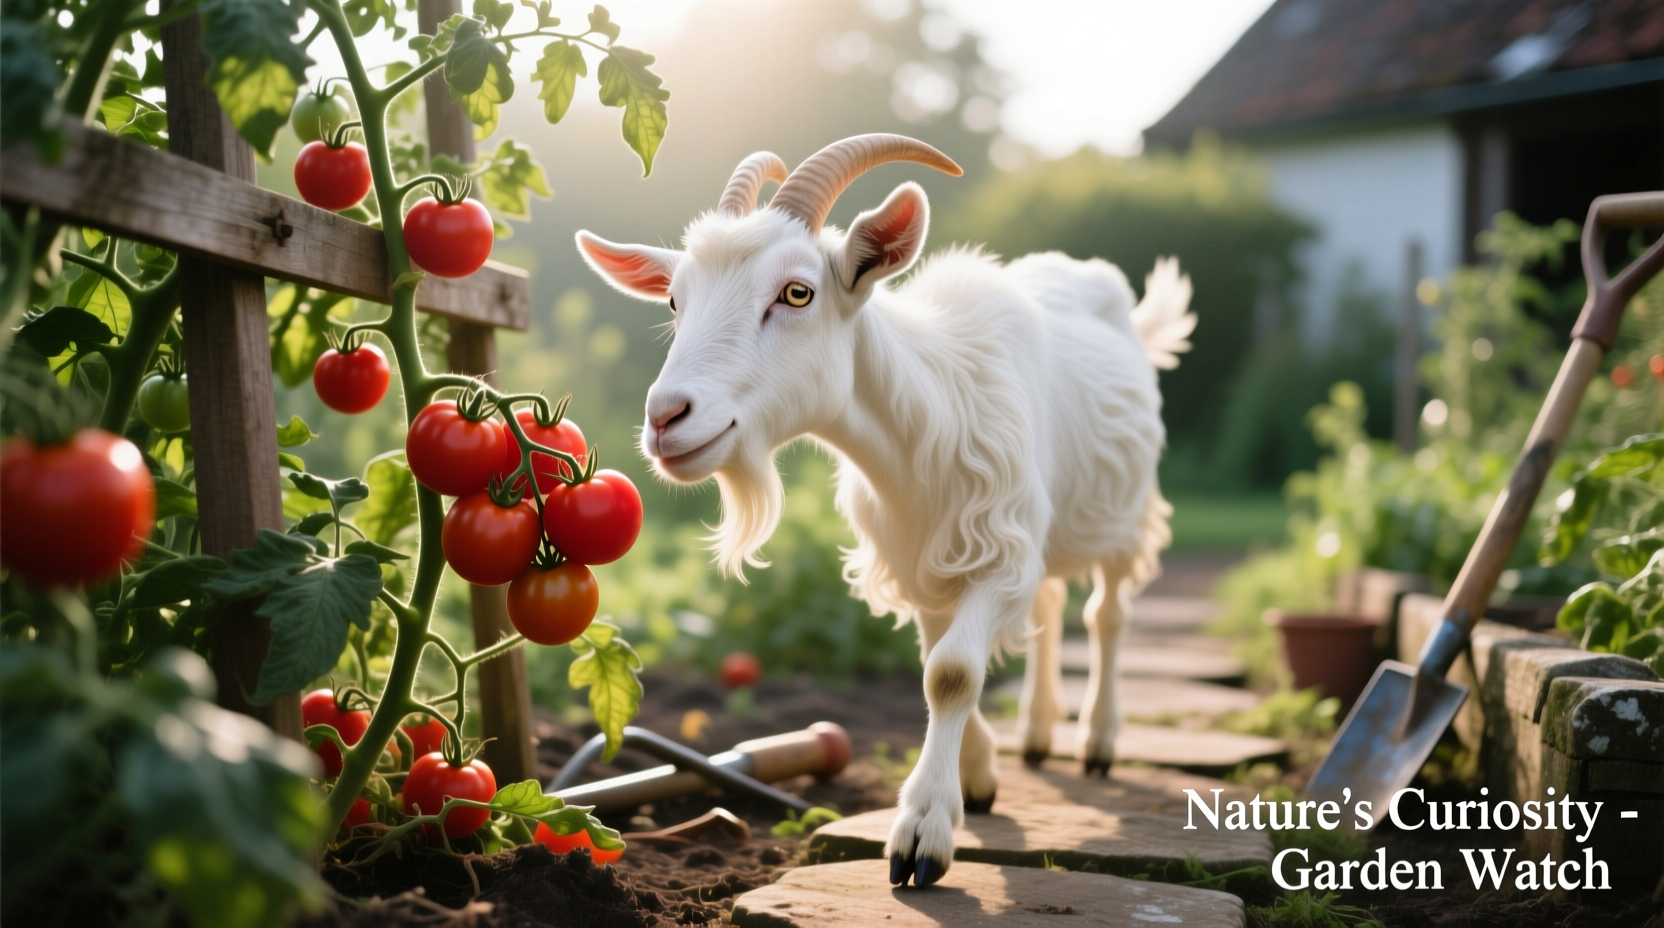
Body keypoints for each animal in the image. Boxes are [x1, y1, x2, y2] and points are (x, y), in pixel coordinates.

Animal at [575, 135, 1194, 888]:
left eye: (798, 291)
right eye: (672, 299)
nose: (667, 418)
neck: (930, 419)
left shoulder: (1000, 553)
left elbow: (952, 672)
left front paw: (923, 834)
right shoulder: (923, 558)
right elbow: (940, 661)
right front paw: (977, 778)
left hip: (1123, 515)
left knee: (1105, 615)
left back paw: (1097, 741)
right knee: (1050, 607)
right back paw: (1038, 735)